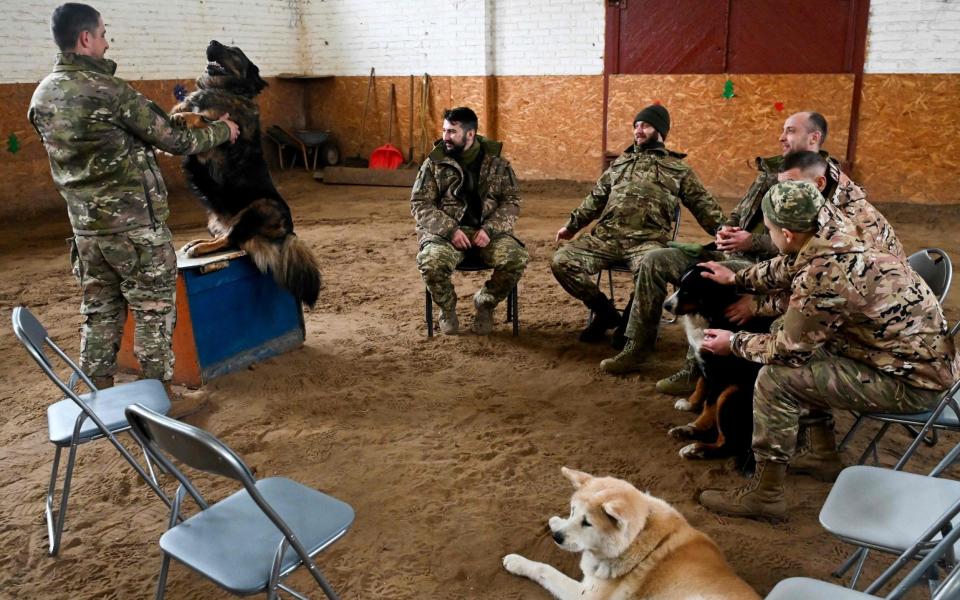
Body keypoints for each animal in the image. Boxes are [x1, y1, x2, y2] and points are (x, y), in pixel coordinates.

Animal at [171, 39, 320, 308]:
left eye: (235, 51)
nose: (211, 41)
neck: (228, 91)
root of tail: (289, 232)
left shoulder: (225, 136)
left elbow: (203, 117)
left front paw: (183, 116)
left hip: (259, 207)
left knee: (231, 239)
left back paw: (199, 248)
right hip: (213, 220)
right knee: (226, 238)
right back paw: (198, 242)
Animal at [502, 468, 756, 600]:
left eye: (587, 523)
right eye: (573, 510)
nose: (557, 537)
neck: (639, 542)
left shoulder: (585, 595)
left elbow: (545, 570)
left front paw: (517, 562)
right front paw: (557, 522)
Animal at [664, 266, 776, 464]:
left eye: (688, 290)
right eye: (679, 285)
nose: (666, 306)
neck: (709, 313)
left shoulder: (719, 372)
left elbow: (710, 405)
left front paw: (697, 423)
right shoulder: (704, 360)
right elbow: (701, 384)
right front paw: (690, 404)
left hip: (731, 393)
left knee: (728, 444)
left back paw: (694, 448)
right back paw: (683, 432)